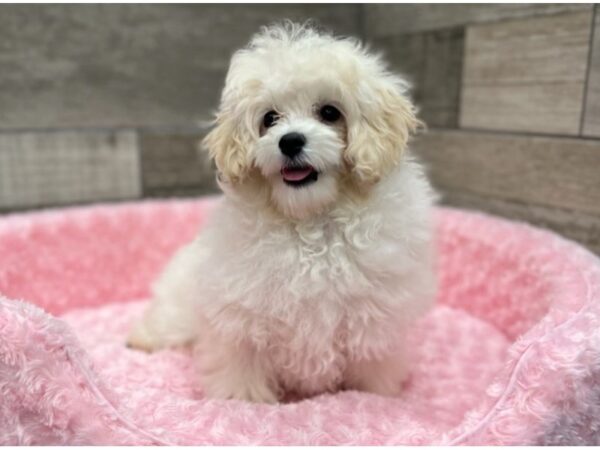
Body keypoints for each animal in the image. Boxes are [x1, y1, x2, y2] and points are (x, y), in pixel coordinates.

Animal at [127, 22, 436, 404]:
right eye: (270, 119)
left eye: (330, 112)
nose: (289, 141)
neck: (310, 220)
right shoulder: (239, 319)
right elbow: (241, 370)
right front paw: (242, 402)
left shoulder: (374, 321)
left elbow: (371, 372)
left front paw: (376, 396)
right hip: (178, 307)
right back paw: (140, 339)